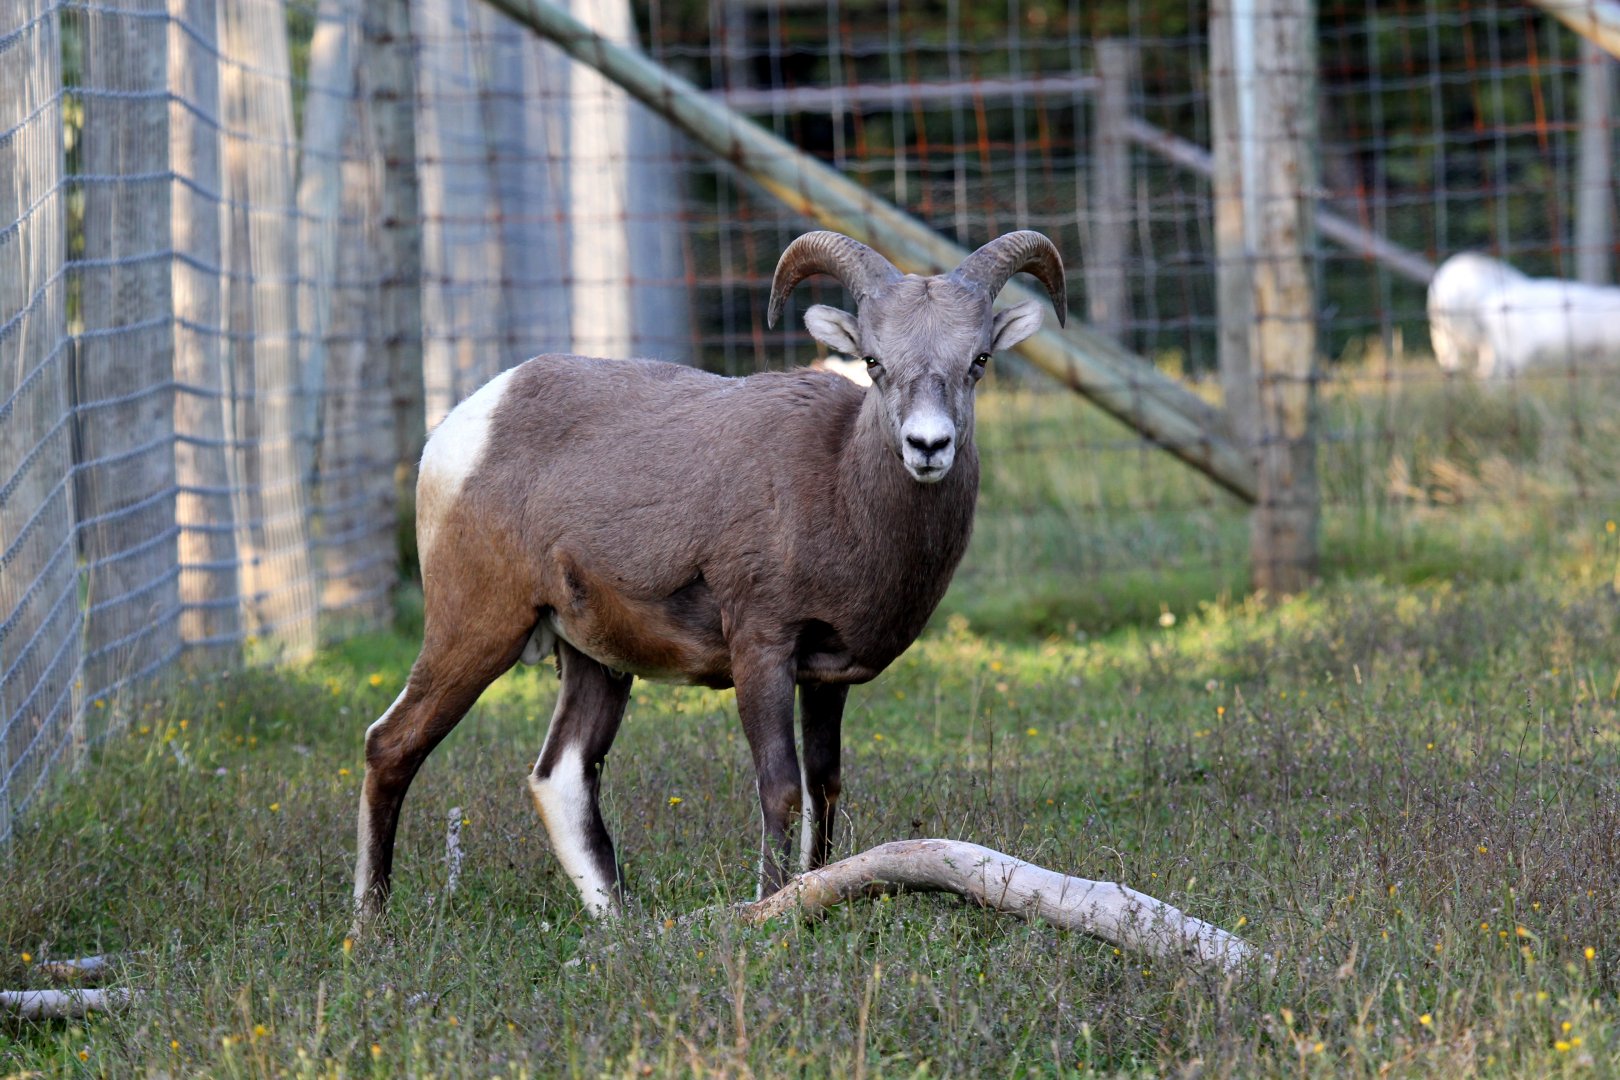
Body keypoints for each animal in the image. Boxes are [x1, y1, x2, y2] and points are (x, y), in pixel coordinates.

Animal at [352, 230, 1067, 929]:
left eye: (978, 360)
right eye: (874, 362)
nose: (928, 446)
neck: (840, 484)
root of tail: (457, 432)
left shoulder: (825, 677)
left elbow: (824, 787)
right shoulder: (762, 649)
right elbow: (780, 790)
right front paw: (775, 910)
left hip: (596, 662)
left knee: (562, 776)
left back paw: (621, 926)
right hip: (477, 629)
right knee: (392, 745)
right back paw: (371, 925)